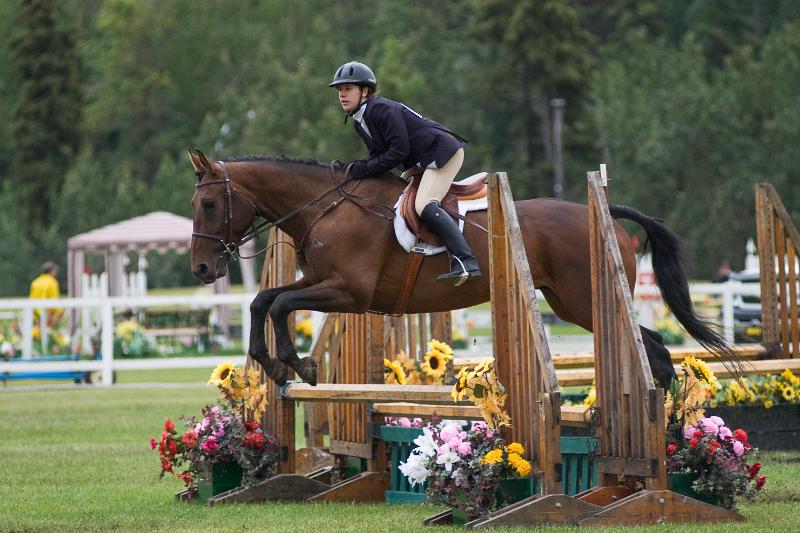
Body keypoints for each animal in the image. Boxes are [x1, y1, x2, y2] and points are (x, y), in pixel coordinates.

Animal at [188, 148, 736, 388]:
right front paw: (272, 362)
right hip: (568, 303)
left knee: (654, 350)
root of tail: (603, 211)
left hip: (585, 302)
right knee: (654, 347)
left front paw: (296, 364)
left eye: (210, 205)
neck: (326, 207)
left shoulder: (349, 292)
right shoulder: (321, 281)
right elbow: (264, 300)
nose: (201, 268)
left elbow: (281, 303)